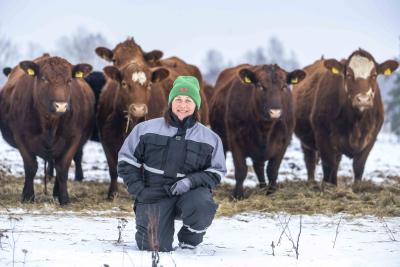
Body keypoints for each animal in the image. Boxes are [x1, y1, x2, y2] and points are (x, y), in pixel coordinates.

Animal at [0, 56, 94, 205]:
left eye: (69, 80)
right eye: (44, 79)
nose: (60, 106)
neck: (49, 124)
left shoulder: (73, 138)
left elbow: (63, 168)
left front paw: (64, 198)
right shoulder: (21, 137)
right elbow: (30, 167)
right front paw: (27, 195)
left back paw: (56, 193)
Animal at [99, 61, 171, 198]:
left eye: (149, 85)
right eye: (124, 84)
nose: (138, 109)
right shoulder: (106, 140)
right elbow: (112, 168)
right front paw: (112, 193)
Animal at [209, 63, 306, 199]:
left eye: (284, 86)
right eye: (260, 86)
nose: (275, 111)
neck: (264, 129)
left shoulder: (284, 142)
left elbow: (272, 170)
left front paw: (271, 192)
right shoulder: (235, 140)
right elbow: (241, 170)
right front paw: (238, 195)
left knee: (259, 167)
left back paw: (263, 187)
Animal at [292, 48, 398, 186]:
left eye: (374, 75)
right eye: (348, 75)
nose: (363, 99)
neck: (356, 121)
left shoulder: (371, 138)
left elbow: (358, 166)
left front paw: (357, 187)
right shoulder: (322, 135)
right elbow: (328, 165)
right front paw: (327, 187)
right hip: (306, 141)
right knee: (310, 161)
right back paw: (312, 182)